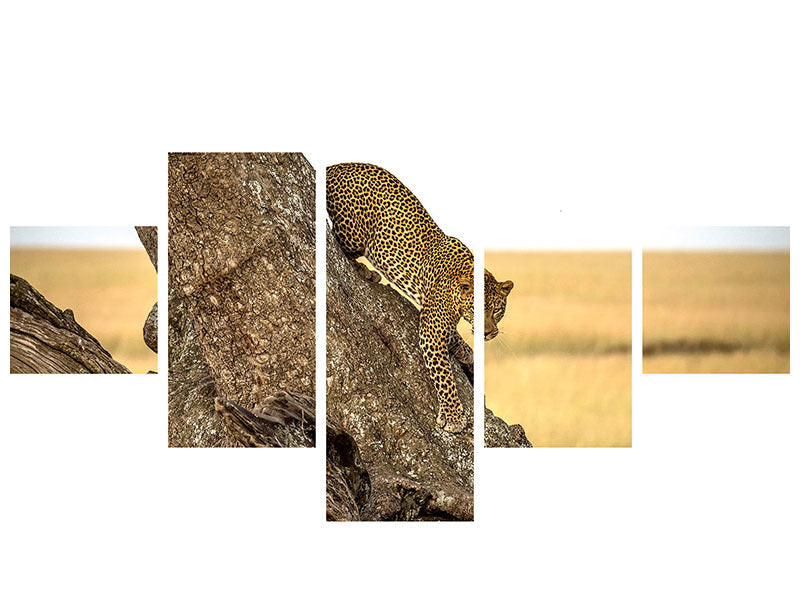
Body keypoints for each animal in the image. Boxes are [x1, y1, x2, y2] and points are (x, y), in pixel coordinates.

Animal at [327, 162, 513, 433]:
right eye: (476, 309)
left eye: (498, 310)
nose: (488, 333)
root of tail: (335, 166)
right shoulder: (432, 328)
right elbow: (444, 375)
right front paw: (454, 416)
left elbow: (456, 338)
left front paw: (467, 353)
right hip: (355, 232)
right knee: (340, 242)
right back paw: (365, 270)